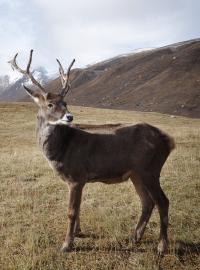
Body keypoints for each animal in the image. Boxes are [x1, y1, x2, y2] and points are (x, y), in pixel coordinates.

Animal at [9, 50, 175, 255]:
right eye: (50, 104)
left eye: (65, 102)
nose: (69, 116)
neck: (60, 150)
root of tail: (168, 141)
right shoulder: (77, 180)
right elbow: (78, 209)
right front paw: (77, 233)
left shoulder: (76, 175)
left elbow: (71, 211)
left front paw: (66, 244)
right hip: (136, 173)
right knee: (147, 202)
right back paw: (135, 237)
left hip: (150, 169)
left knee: (163, 201)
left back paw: (162, 246)